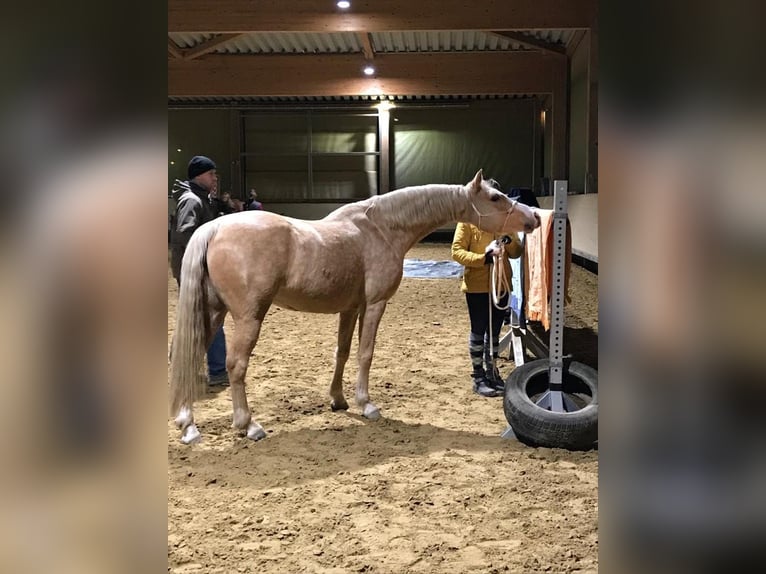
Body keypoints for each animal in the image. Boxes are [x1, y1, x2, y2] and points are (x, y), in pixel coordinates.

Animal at [170, 170, 540, 446]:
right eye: (495, 197)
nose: (534, 217)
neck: (381, 228)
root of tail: (214, 227)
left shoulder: (350, 308)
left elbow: (342, 352)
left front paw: (339, 399)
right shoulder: (374, 304)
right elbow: (365, 353)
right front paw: (367, 404)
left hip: (212, 312)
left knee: (190, 355)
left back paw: (188, 424)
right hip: (248, 317)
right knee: (236, 365)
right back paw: (248, 425)